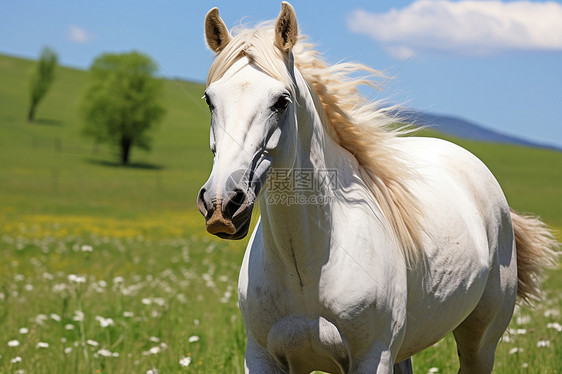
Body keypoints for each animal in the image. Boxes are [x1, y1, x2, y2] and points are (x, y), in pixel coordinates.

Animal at [197, 2, 556, 372]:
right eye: (210, 99)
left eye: (281, 101)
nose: (222, 205)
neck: (306, 268)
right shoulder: (261, 358)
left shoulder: (373, 357)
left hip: (480, 342)